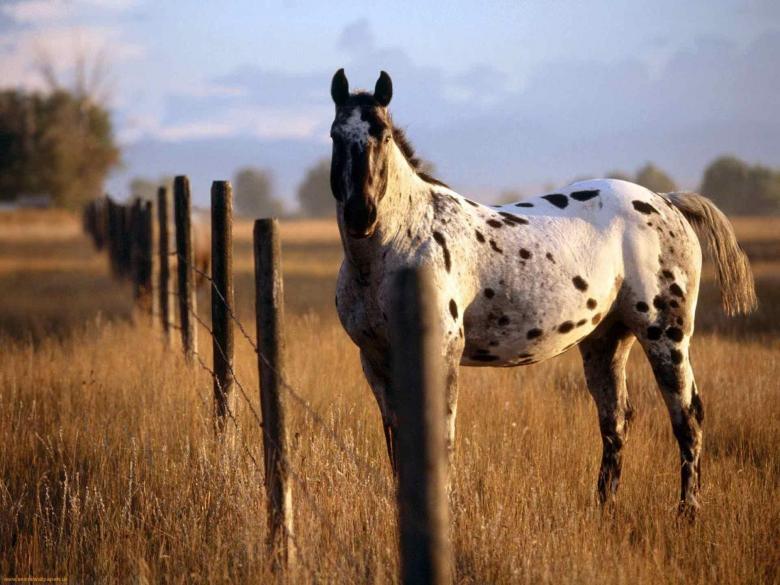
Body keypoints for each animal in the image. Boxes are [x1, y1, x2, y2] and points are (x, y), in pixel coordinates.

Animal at [330, 69, 756, 516]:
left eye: (383, 136)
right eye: (335, 135)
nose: (361, 214)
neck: (401, 244)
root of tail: (667, 201)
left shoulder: (441, 353)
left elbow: (441, 436)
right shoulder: (376, 361)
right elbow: (396, 441)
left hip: (665, 335)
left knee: (688, 416)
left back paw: (687, 512)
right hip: (606, 339)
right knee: (616, 419)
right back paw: (605, 507)